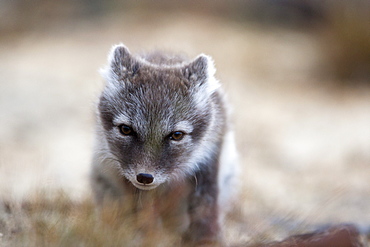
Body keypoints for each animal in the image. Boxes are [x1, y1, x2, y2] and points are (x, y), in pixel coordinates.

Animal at [91, 44, 238, 245]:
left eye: (177, 135)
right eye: (126, 129)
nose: (145, 177)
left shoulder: (210, 158)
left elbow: (205, 205)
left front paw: (207, 239)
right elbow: (145, 211)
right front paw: (151, 237)